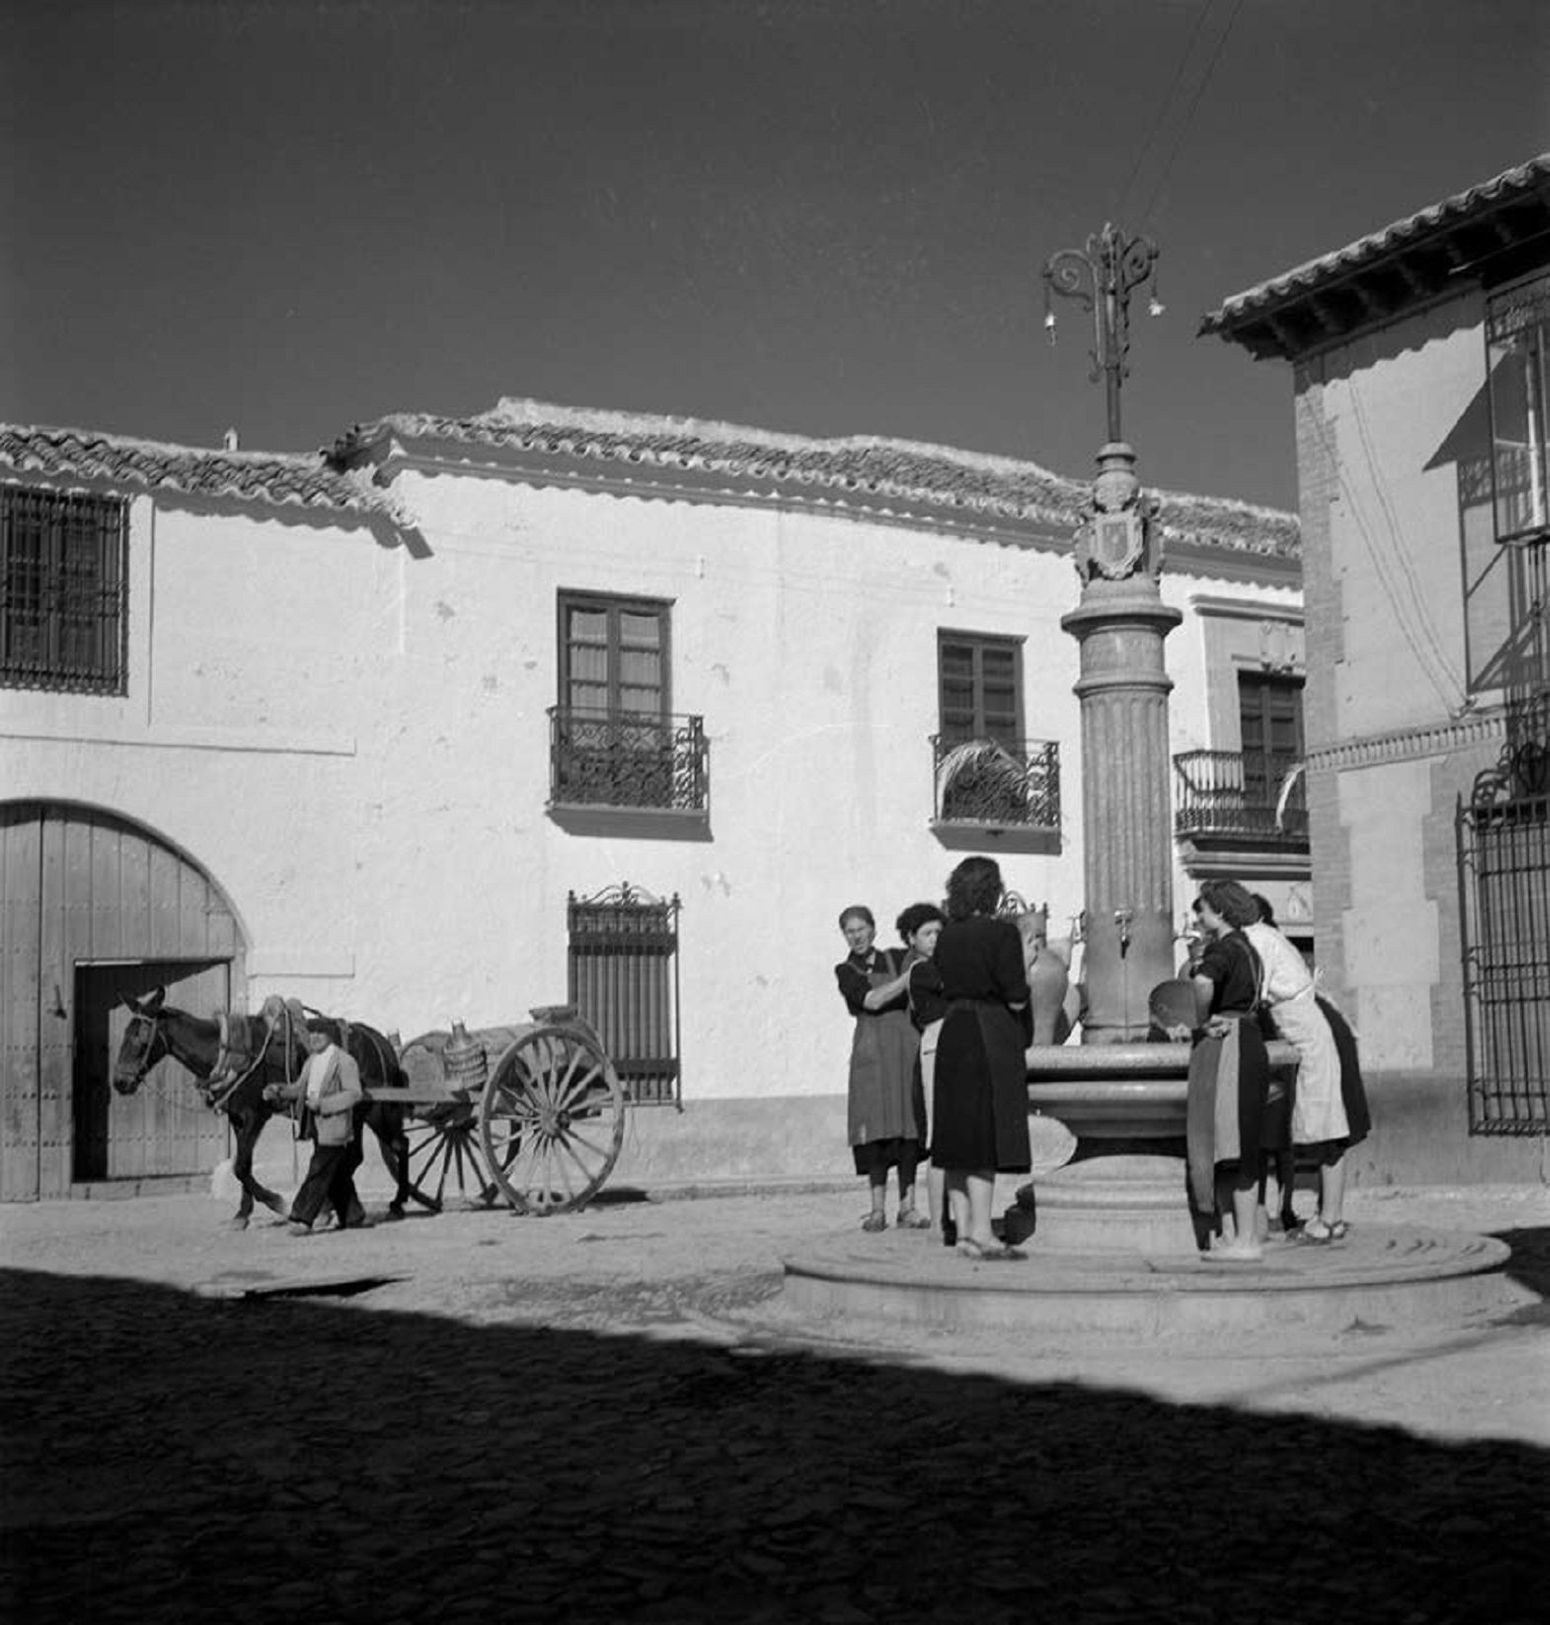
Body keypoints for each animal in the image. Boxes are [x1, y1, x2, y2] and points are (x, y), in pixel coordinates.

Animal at [112, 988, 417, 1229]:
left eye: (139, 1038)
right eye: (124, 1034)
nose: (120, 1082)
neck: (229, 1052)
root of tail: (378, 1039)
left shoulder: (254, 1115)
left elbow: (241, 1168)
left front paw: (278, 1202)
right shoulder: (237, 1118)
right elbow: (242, 1165)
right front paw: (242, 1214)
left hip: (378, 1109)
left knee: (399, 1144)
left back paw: (397, 1202)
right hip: (354, 1113)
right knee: (354, 1154)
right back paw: (332, 1207)